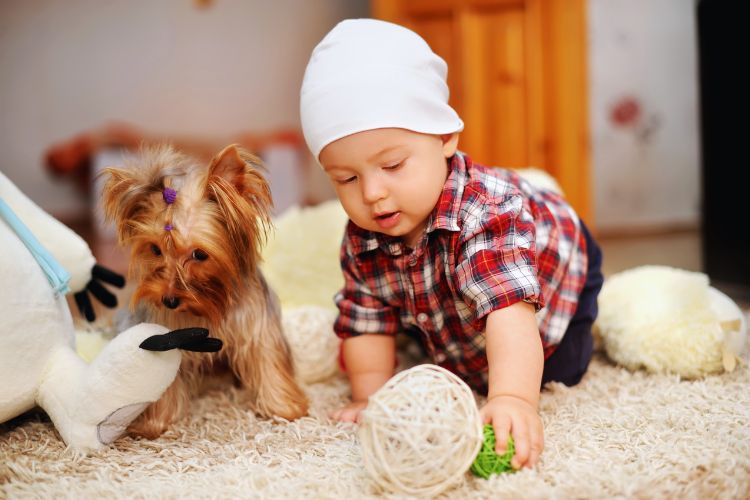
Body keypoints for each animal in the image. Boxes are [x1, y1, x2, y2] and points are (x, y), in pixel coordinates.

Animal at [102, 143, 308, 436]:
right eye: (155, 249)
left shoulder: (257, 327)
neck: (210, 301)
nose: (168, 300)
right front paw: (154, 424)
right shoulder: (168, 331)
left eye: (199, 254)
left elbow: (268, 363)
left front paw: (284, 410)